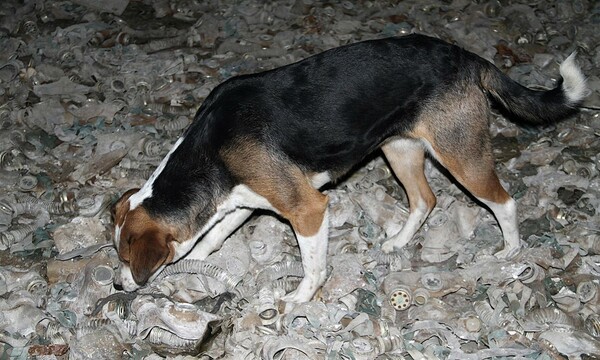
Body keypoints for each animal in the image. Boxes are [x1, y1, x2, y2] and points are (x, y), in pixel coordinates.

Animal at [111, 34, 584, 304]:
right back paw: (398, 242)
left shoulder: (307, 209)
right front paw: (201, 259)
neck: (208, 152)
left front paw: (302, 297)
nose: (116, 287)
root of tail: (466, 57)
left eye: (127, 259)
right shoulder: (243, 200)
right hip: (399, 150)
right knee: (424, 200)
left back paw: (510, 252)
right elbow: (212, 236)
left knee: (504, 201)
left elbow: (313, 266)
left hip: (461, 157)